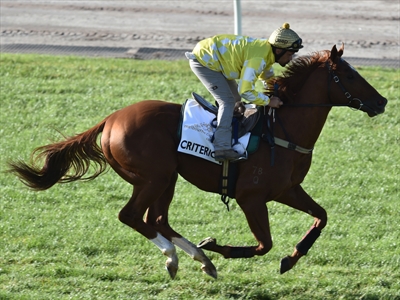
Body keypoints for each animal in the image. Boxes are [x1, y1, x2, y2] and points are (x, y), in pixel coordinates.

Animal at [7, 45, 388, 278]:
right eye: (350, 75)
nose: (382, 101)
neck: (281, 130)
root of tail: (111, 119)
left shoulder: (288, 190)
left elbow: (321, 217)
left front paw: (291, 258)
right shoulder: (251, 198)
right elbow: (263, 244)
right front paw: (217, 246)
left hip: (167, 178)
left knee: (156, 219)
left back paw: (198, 259)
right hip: (155, 177)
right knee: (132, 216)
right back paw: (181, 256)